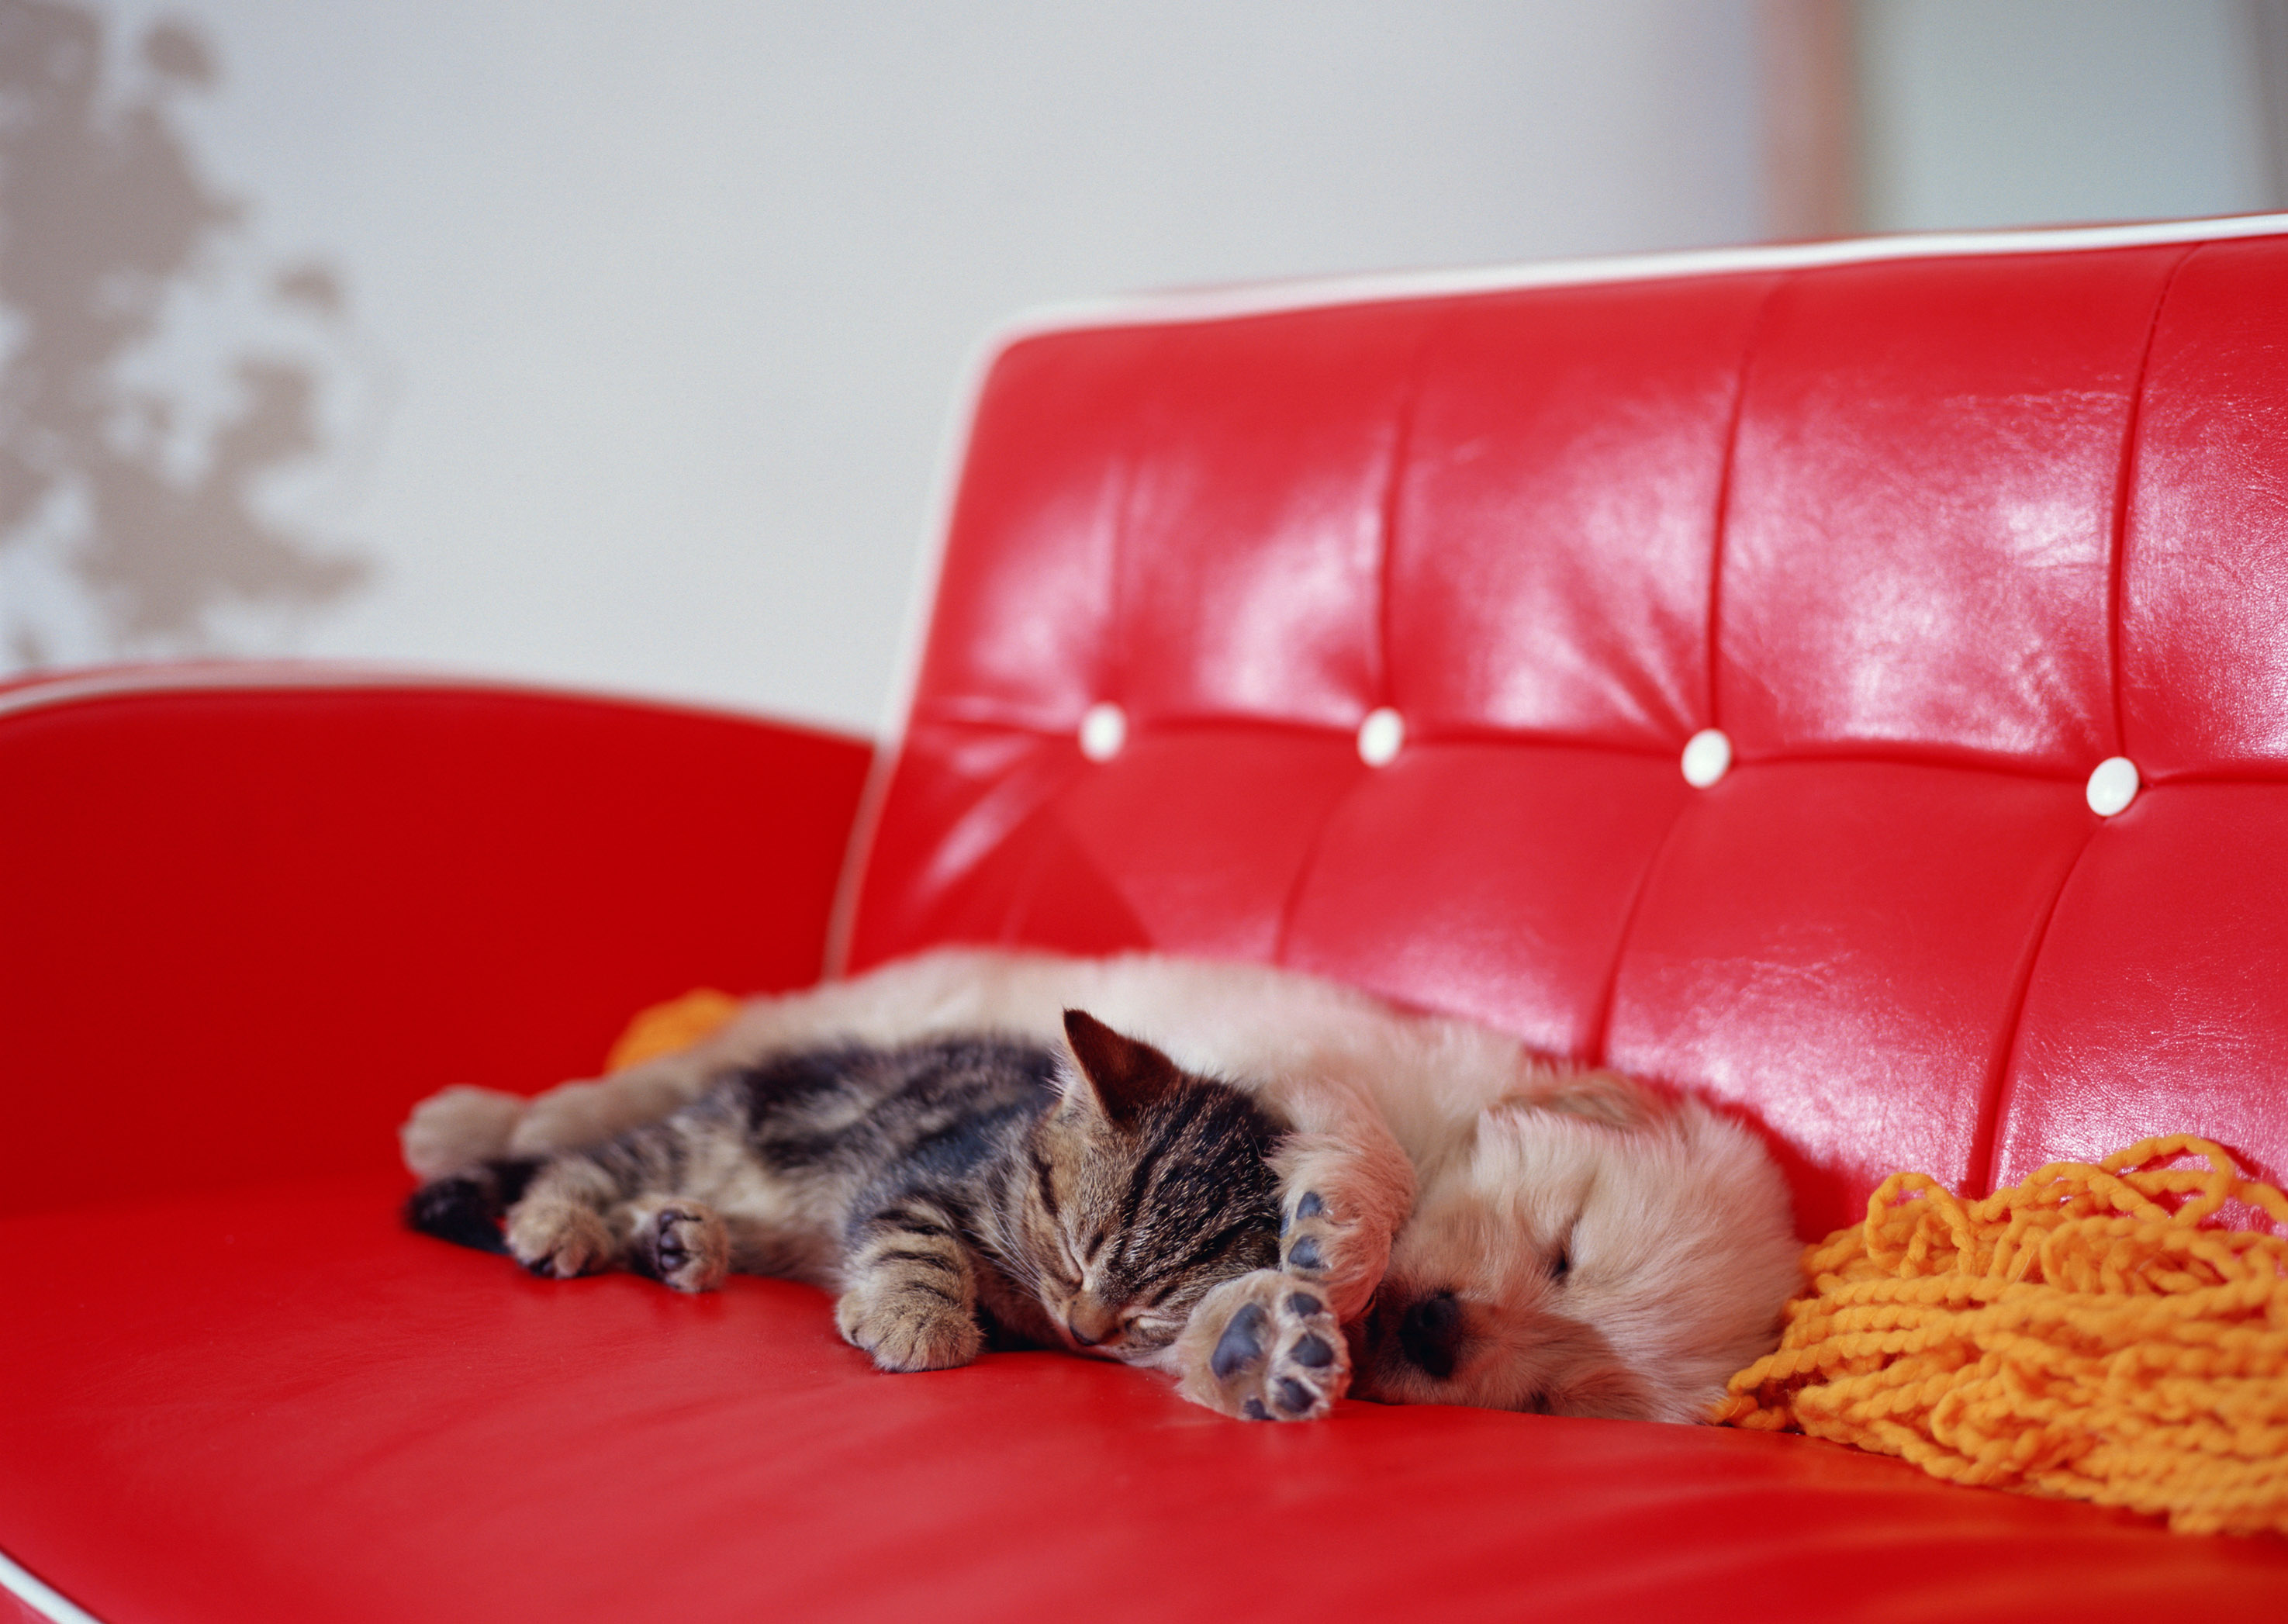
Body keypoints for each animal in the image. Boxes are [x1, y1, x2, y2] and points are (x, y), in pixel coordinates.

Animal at [413, 1011, 1345, 1408]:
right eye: (1074, 1252)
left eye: (1157, 1309)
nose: (1086, 1329)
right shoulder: (913, 1179)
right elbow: (917, 1239)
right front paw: (918, 1318)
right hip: (708, 1137)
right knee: (590, 1163)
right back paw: (563, 1219)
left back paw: (677, 1241)